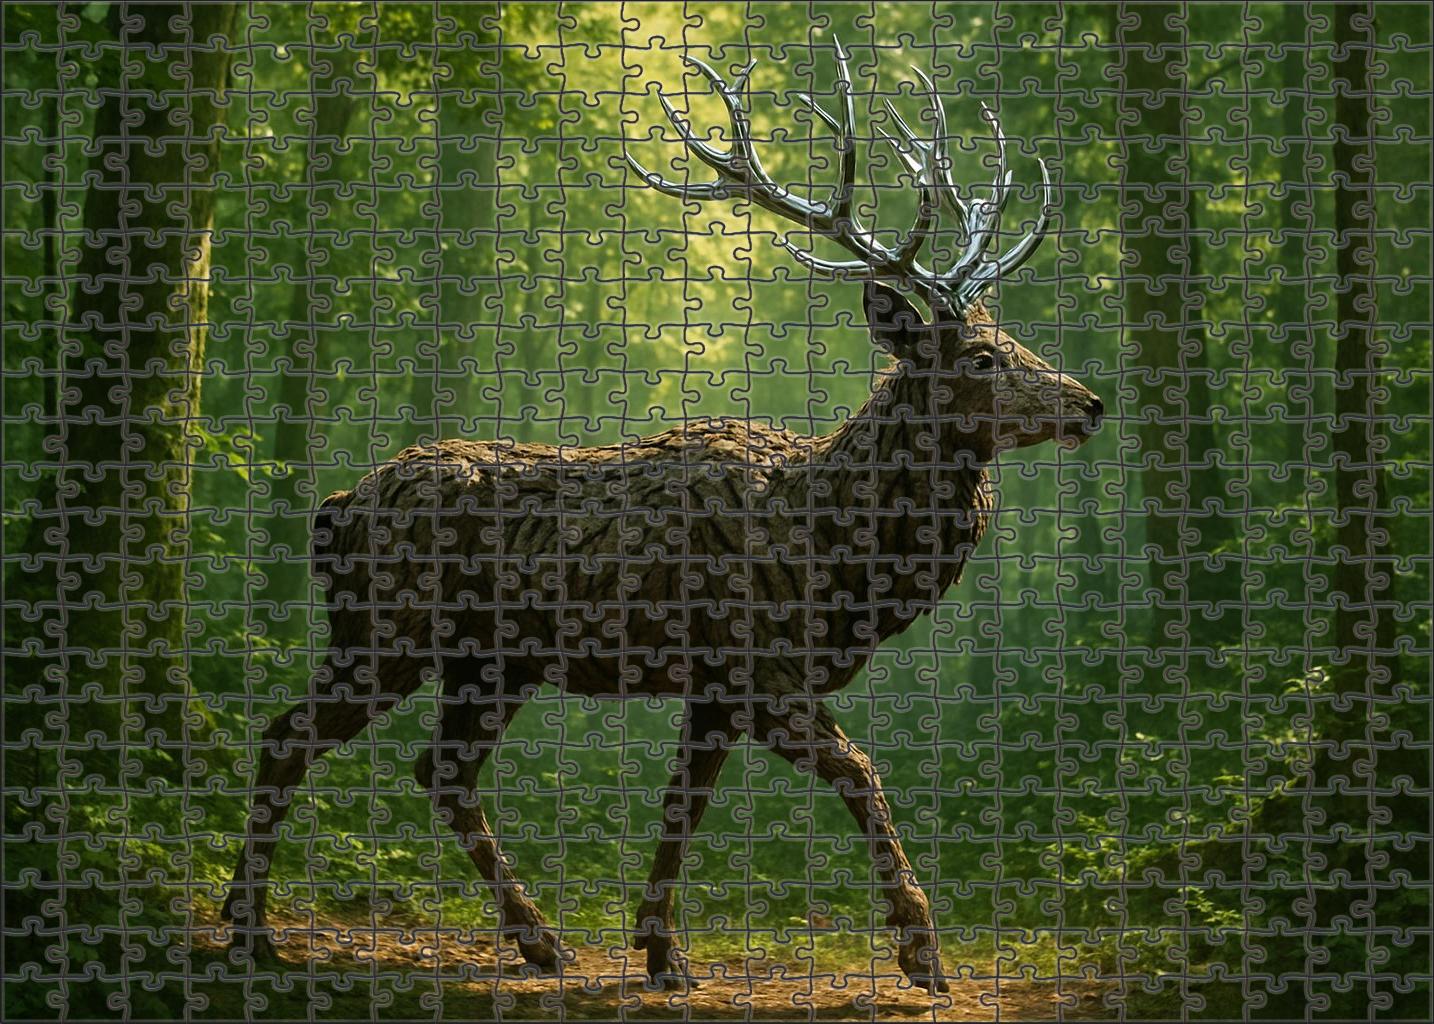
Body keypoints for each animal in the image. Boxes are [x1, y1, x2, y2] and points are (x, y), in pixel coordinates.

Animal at [221, 46, 1103, 995]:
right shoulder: (758, 667)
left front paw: (659, 951)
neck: (833, 548)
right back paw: (249, 933)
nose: (1089, 404)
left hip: (491, 662)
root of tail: (336, 509)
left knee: (440, 771)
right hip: (386, 630)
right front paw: (920, 952)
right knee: (288, 737)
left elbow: (686, 803)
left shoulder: (712, 685)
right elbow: (861, 773)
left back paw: (539, 940)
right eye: (980, 356)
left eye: (1011, 339)